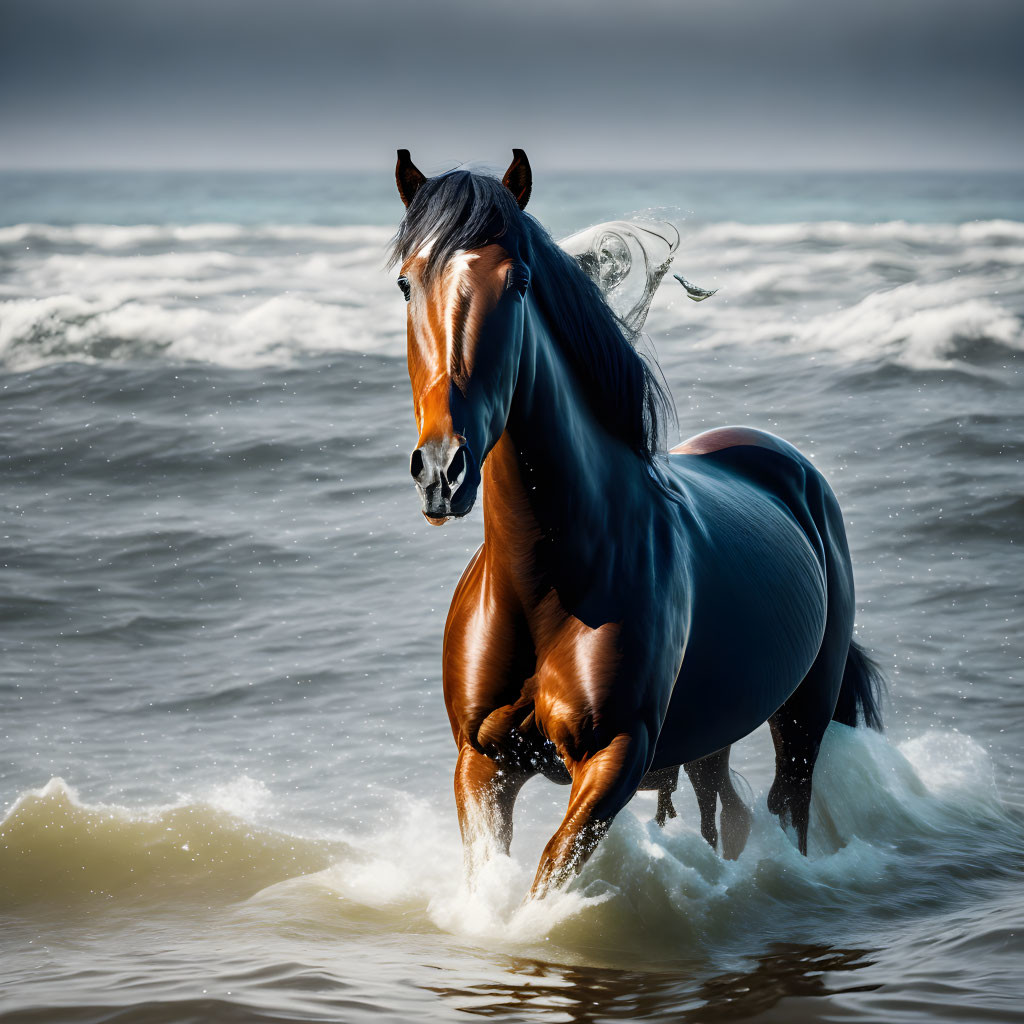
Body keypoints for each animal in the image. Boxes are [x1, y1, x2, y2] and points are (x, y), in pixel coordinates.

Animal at [387, 146, 884, 897]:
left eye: (519, 280)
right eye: (406, 283)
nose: (443, 470)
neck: (548, 578)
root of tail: (790, 467)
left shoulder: (614, 759)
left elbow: (546, 881)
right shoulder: (482, 762)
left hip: (802, 717)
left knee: (784, 808)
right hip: (712, 731)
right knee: (724, 813)